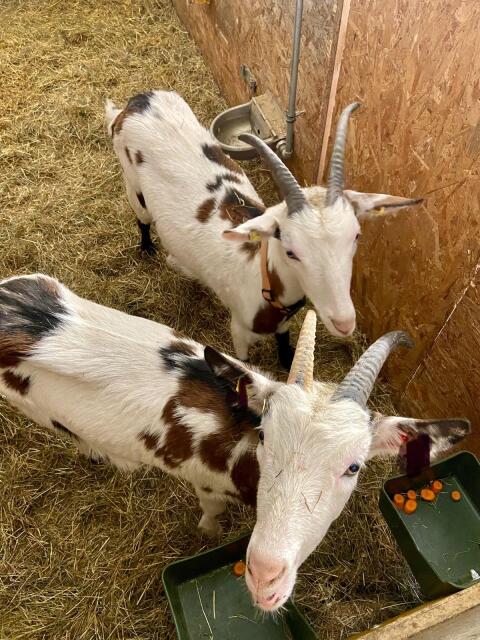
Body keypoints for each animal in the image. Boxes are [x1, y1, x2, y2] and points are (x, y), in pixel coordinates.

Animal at [0, 273, 469, 611]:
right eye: (264, 437)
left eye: (353, 466)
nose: (264, 577)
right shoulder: (206, 484)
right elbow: (210, 512)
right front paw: (209, 533)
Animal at [105, 91, 423, 368]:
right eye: (291, 251)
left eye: (355, 236)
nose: (343, 323)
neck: (261, 275)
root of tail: (138, 102)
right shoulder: (238, 330)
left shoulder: (283, 322)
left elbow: (284, 343)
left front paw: (287, 360)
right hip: (133, 186)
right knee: (142, 219)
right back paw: (147, 248)